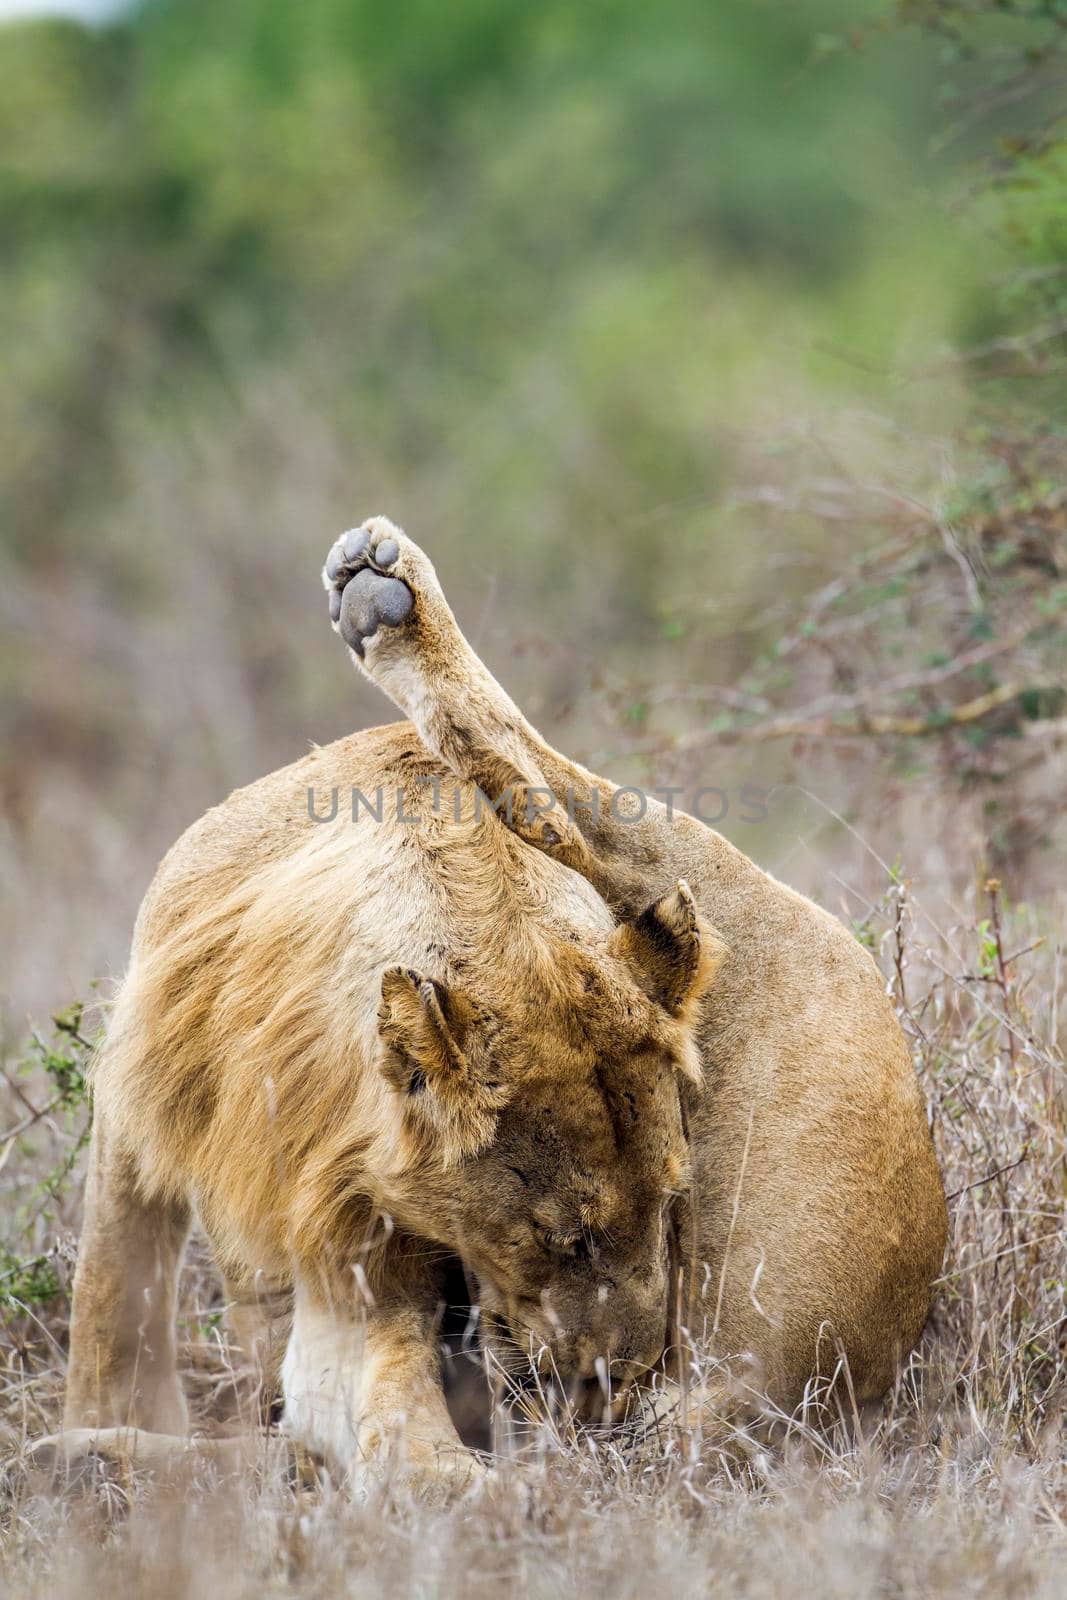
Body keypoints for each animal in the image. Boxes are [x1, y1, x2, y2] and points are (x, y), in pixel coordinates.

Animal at [58, 518, 940, 1491]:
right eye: (560, 1241)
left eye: (671, 1207)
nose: (613, 1383)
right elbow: (118, 1297)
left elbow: (119, 1291)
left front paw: (103, 1431)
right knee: (561, 809)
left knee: (556, 786)